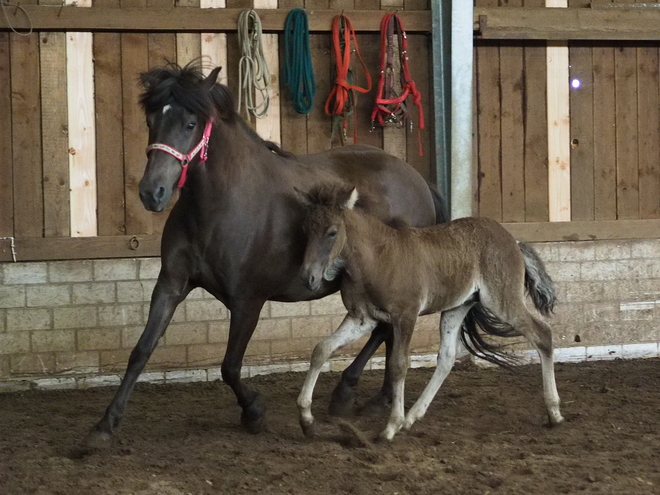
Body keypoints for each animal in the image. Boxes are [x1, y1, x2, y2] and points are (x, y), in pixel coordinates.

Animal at [80, 63, 446, 450]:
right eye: (152, 119)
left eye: (190, 124)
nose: (152, 193)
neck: (221, 205)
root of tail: (418, 180)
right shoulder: (171, 285)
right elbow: (141, 351)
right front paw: (104, 425)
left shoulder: (248, 301)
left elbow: (230, 366)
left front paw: (254, 411)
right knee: (385, 331)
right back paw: (366, 396)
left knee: (387, 331)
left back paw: (357, 395)